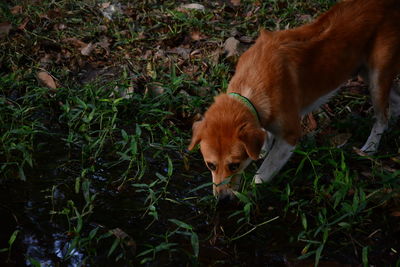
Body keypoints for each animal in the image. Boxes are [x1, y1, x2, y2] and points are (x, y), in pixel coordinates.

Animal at [188, 0, 400, 201]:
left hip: (377, 77)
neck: (252, 85)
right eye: (210, 165)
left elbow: (263, 172)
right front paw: (263, 148)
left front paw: (253, 191)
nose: (222, 200)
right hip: (365, 73)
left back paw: (370, 148)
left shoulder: (290, 136)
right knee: (395, 100)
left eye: (234, 165)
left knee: (382, 119)